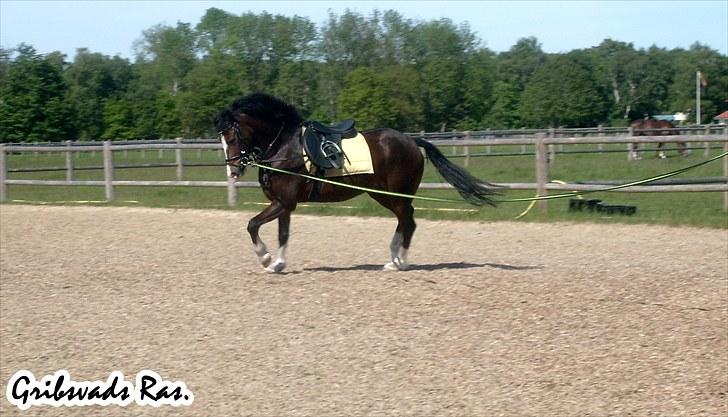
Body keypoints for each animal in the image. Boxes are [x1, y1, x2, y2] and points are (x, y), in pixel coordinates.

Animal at [215, 92, 500, 272]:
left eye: (231, 137)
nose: (233, 171)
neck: (285, 147)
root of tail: (411, 141)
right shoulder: (283, 204)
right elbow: (282, 234)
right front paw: (277, 264)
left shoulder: (284, 202)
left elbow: (252, 225)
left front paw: (264, 258)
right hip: (382, 194)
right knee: (404, 219)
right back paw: (393, 259)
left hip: (396, 194)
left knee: (409, 220)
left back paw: (400, 262)